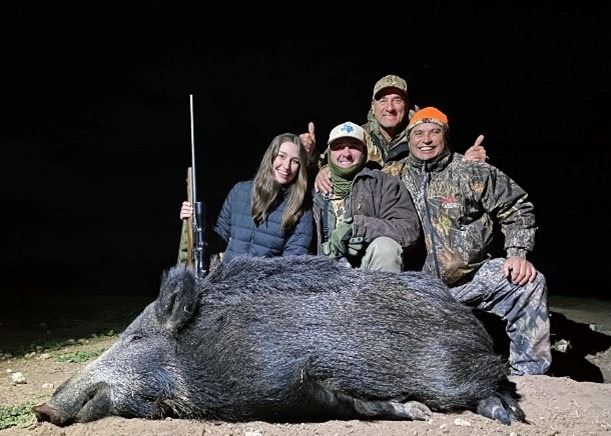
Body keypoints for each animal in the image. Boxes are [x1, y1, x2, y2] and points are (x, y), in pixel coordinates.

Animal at [33, 255, 525, 426]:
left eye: (135, 337)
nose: (42, 407)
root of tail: (466, 317)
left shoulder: (277, 384)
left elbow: (339, 403)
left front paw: (416, 413)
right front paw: (414, 411)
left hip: (459, 373)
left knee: (497, 382)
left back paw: (510, 417)